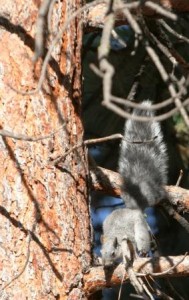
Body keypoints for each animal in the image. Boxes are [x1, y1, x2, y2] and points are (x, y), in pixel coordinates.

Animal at [101, 101, 168, 268]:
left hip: (140, 227)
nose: (106, 266)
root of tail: (133, 208)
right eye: (100, 253)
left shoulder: (128, 238)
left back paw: (143, 252)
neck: (114, 236)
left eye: (113, 253)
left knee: (142, 238)